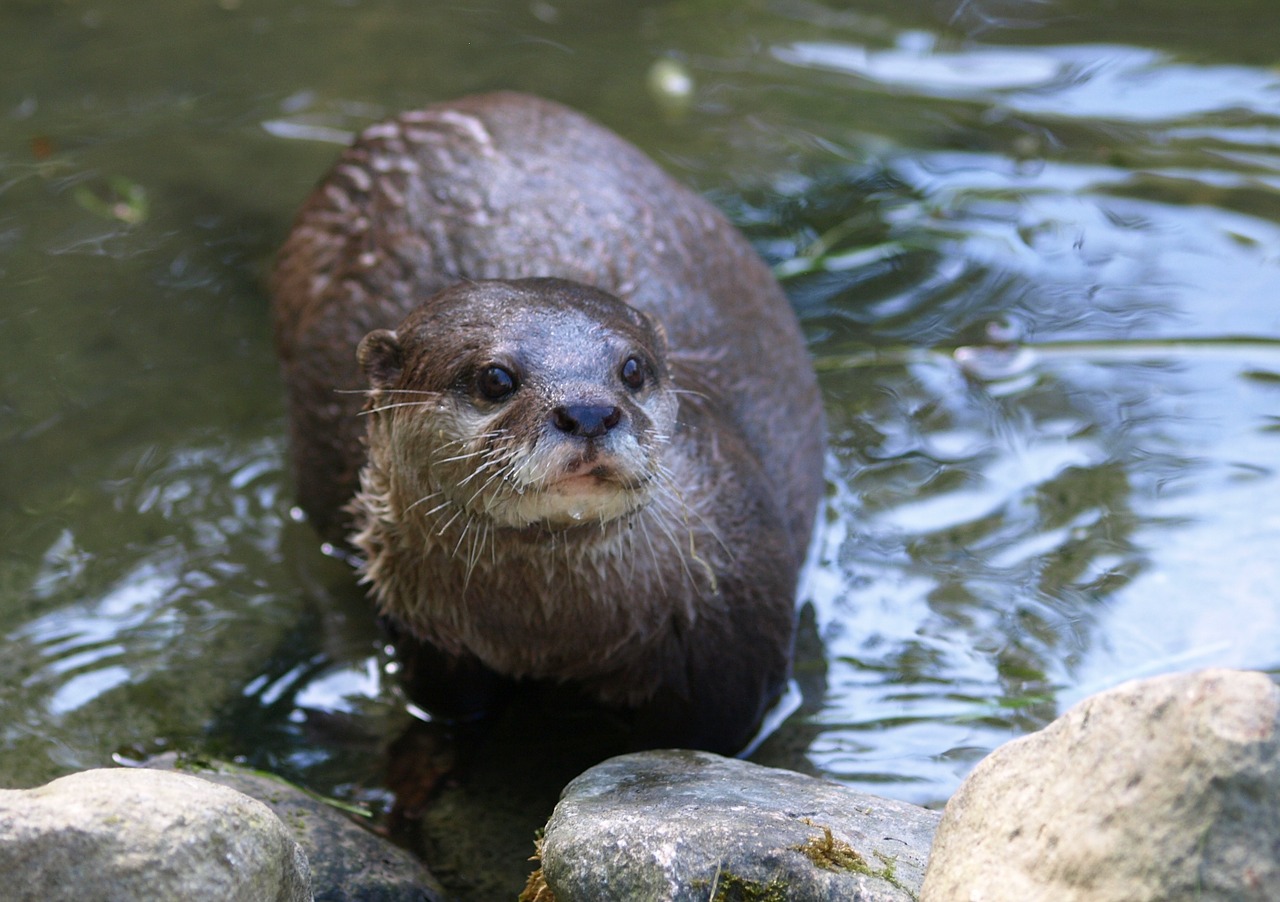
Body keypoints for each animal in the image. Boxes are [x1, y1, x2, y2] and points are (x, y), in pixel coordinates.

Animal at [275, 91, 824, 752]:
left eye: (632, 368)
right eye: (494, 379)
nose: (587, 412)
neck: (547, 636)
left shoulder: (733, 663)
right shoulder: (430, 647)